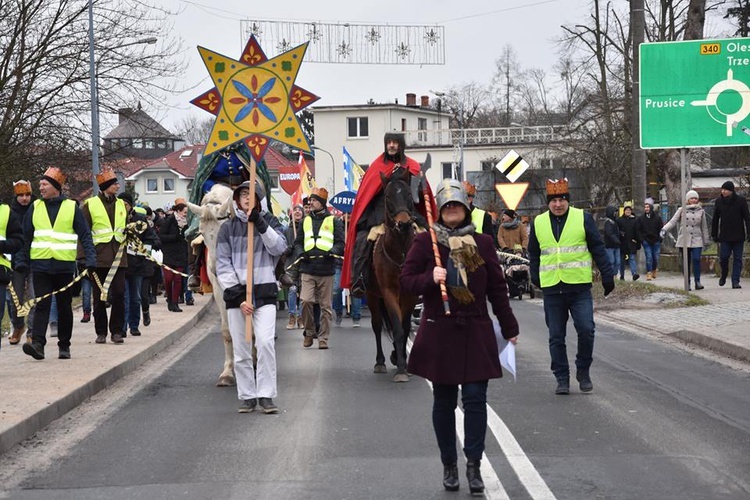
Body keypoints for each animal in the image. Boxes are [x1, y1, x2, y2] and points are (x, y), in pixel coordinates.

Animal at [366, 168, 420, 382]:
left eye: (408, 194)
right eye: (387, 197)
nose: (403, 224)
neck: (401, 253)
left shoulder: (410, 295)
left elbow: (404, 328)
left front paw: (402, 360)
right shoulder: (388, 291)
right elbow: (396, 327)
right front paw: (401, 370)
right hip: (372, 295)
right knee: (376, 325)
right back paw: (380, 362)